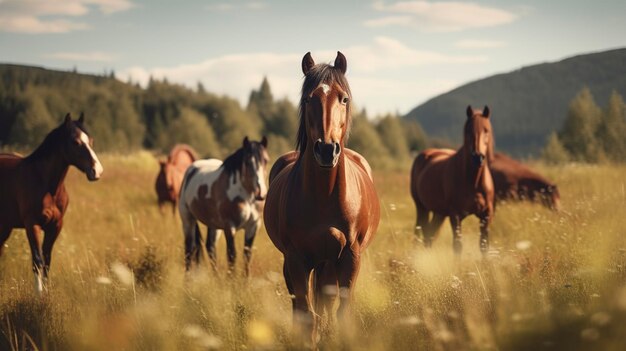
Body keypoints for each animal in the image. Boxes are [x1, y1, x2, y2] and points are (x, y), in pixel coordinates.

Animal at [0, 113, 102, 294]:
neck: (46, 184)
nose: (96, 171)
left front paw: (48, 294)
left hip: (5, 226)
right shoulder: (32, 225)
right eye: (75, 142)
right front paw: (39, 295)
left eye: (91, 140)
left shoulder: (55, 226)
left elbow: (47, 261)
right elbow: (37, 260)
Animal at [179, 136, 270, 276]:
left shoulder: (253, 226)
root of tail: (191, 170)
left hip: (214, 225)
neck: (246, 196)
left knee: (210, 247)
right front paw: (231, 279)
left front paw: (245, 279)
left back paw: (216, 277)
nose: (260, 193)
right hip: (188, 219)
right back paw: (188, 278)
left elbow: (247, 255)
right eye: (247, 162)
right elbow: (232, 255)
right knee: (190, 249)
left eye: (266, 160)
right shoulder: (229, 226)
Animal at [260, 52, 378, 344]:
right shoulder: (296, 259)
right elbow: (306, 316)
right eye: (307, 99)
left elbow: (342, 313)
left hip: (328, 263)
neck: (324, 196)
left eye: (343, 98)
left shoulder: (350, 256)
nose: (326, 149)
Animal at [408, 104, 494, 256]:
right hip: (422, 208)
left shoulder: (486, 216)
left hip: (439, 213)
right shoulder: (455, 216)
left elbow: (484, 246)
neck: (473, 182)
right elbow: (457, 246)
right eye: (468, 131)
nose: (478, 157)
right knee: (420, 233)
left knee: (429, 236)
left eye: (486, 130)